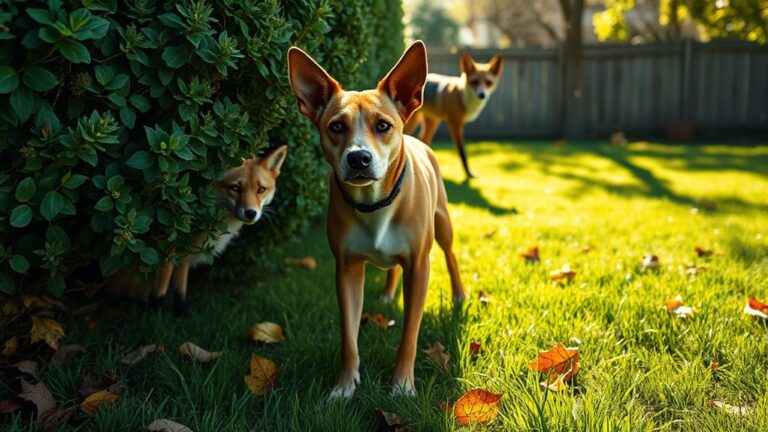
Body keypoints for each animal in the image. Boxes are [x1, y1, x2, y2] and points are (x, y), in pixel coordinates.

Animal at [107, 145, 288, 315]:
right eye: (235, 188)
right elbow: (160, 291)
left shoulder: (185, 253)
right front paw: (155, 317)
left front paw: (181, 315)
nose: (251, 213)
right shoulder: (169, 250)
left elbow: (180, 290)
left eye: (261, 189)